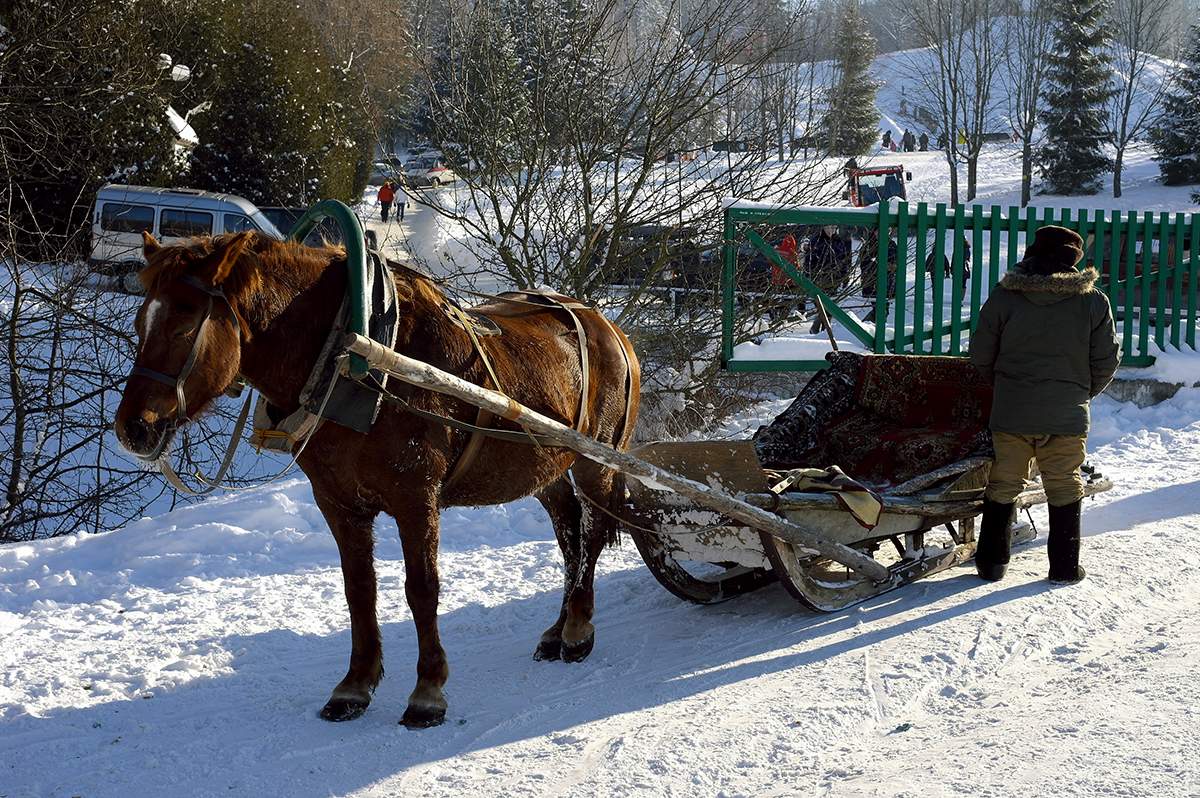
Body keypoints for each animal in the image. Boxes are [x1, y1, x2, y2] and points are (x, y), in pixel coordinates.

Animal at [112, 230, 638, 729]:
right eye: (140, 322)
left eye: (184, 323)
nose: (132, 428)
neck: (353, 354)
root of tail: (611, 329)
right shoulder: (338, 502)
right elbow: (358, 590)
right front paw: (354, 686)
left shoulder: (416, 498)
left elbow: (422, 589)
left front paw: (428, 692)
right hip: (548, 469)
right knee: (569, 535)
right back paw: (557, 629)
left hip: (595, 461)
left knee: (591, 534)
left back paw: (578, 631)